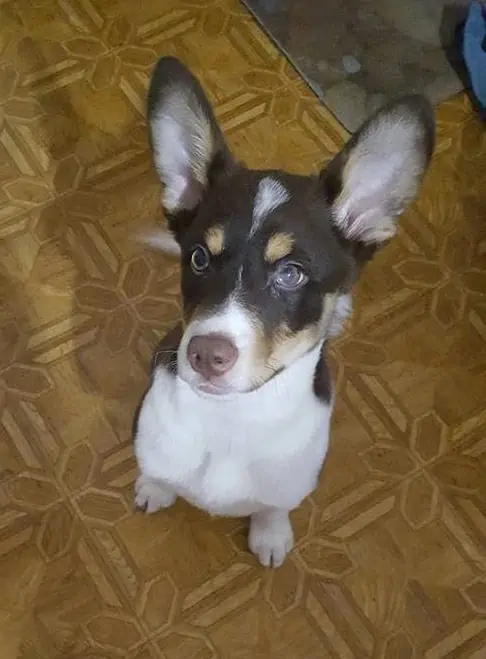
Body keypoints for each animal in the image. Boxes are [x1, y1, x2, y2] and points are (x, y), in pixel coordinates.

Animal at [133, 57, 435, 567]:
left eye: (291, 274)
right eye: (199, 258)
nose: (205, 355)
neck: (232, 419)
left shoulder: (290, 483)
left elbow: (273, 507)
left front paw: (270, 535)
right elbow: (158, 470)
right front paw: (155, 488)